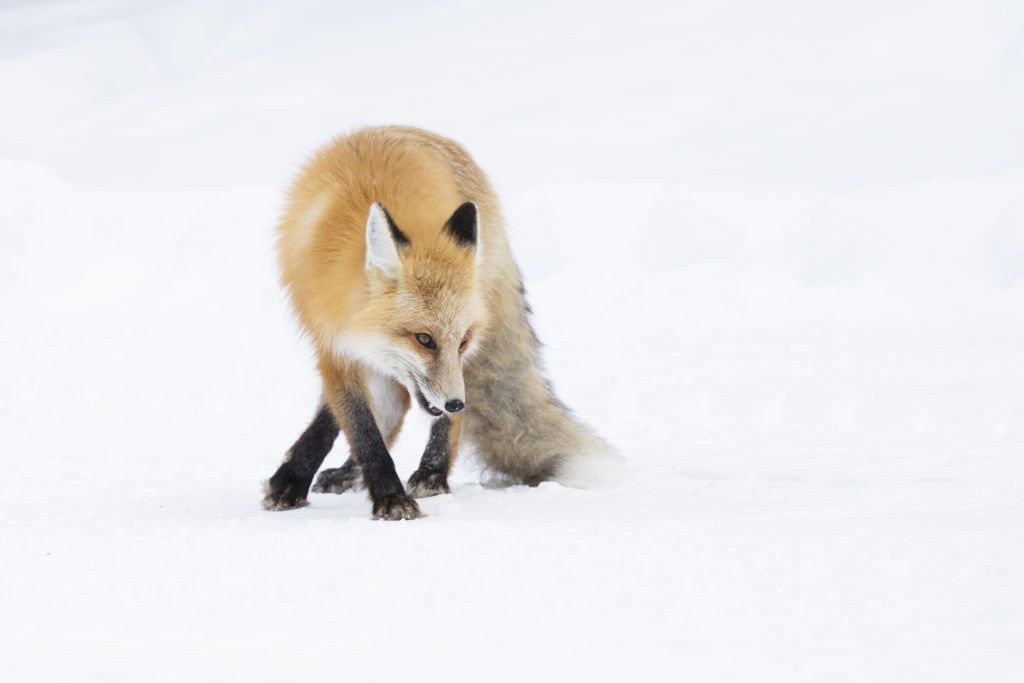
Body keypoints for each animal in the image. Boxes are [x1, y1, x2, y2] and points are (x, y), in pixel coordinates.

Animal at [262, 125, 614, 520]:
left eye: (461, 341)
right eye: (423, 339)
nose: (456, 404)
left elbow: (356, 422)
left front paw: (394, 493)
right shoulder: (332, 344)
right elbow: (358, 425)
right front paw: (380, 491)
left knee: (405, 407)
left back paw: (432, 473)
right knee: (390, 408)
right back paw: (342, 472)